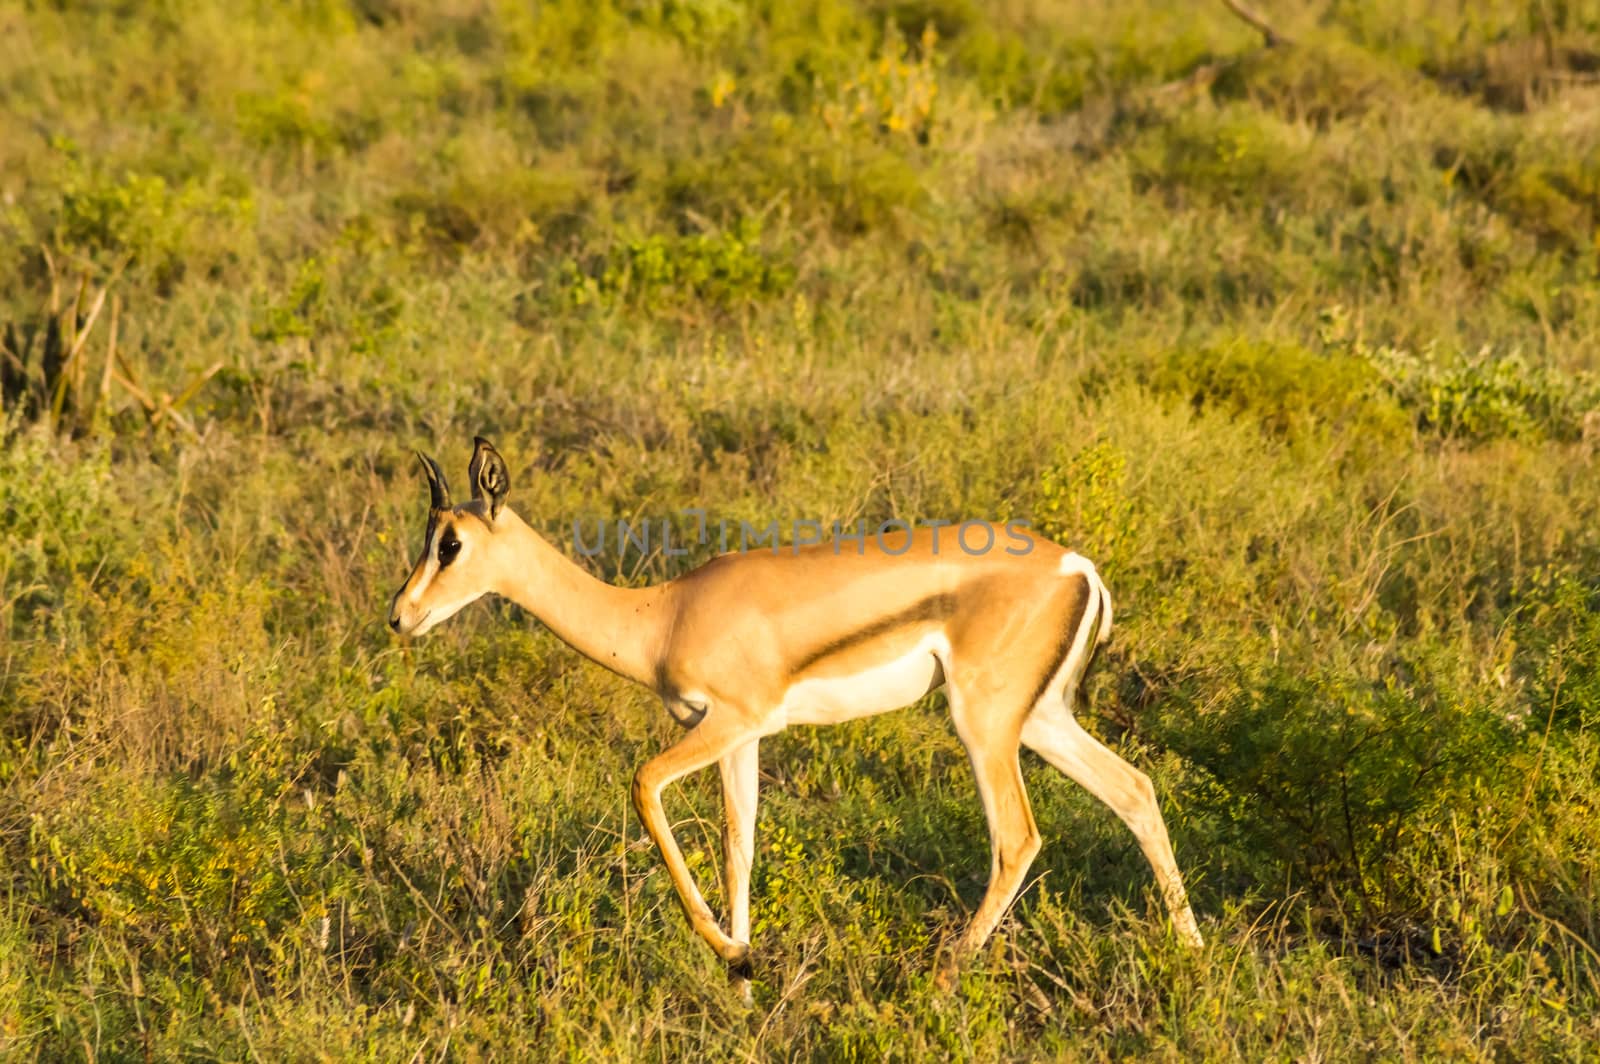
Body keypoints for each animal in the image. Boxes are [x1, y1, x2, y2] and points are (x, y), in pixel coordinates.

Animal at [387, 435, 1203, 992]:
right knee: (1135, 790)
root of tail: (1078, 567)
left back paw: (938, 982)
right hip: (1041, 721)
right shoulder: (736, 739)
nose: (401, 615)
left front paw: (730, 953)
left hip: (983, 724)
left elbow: (645, 786)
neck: (663, 615)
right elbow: (737, 845)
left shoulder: (727, 722)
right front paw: (744, 977)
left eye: (451, 542)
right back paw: (1192, 956)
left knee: (1017, 838)